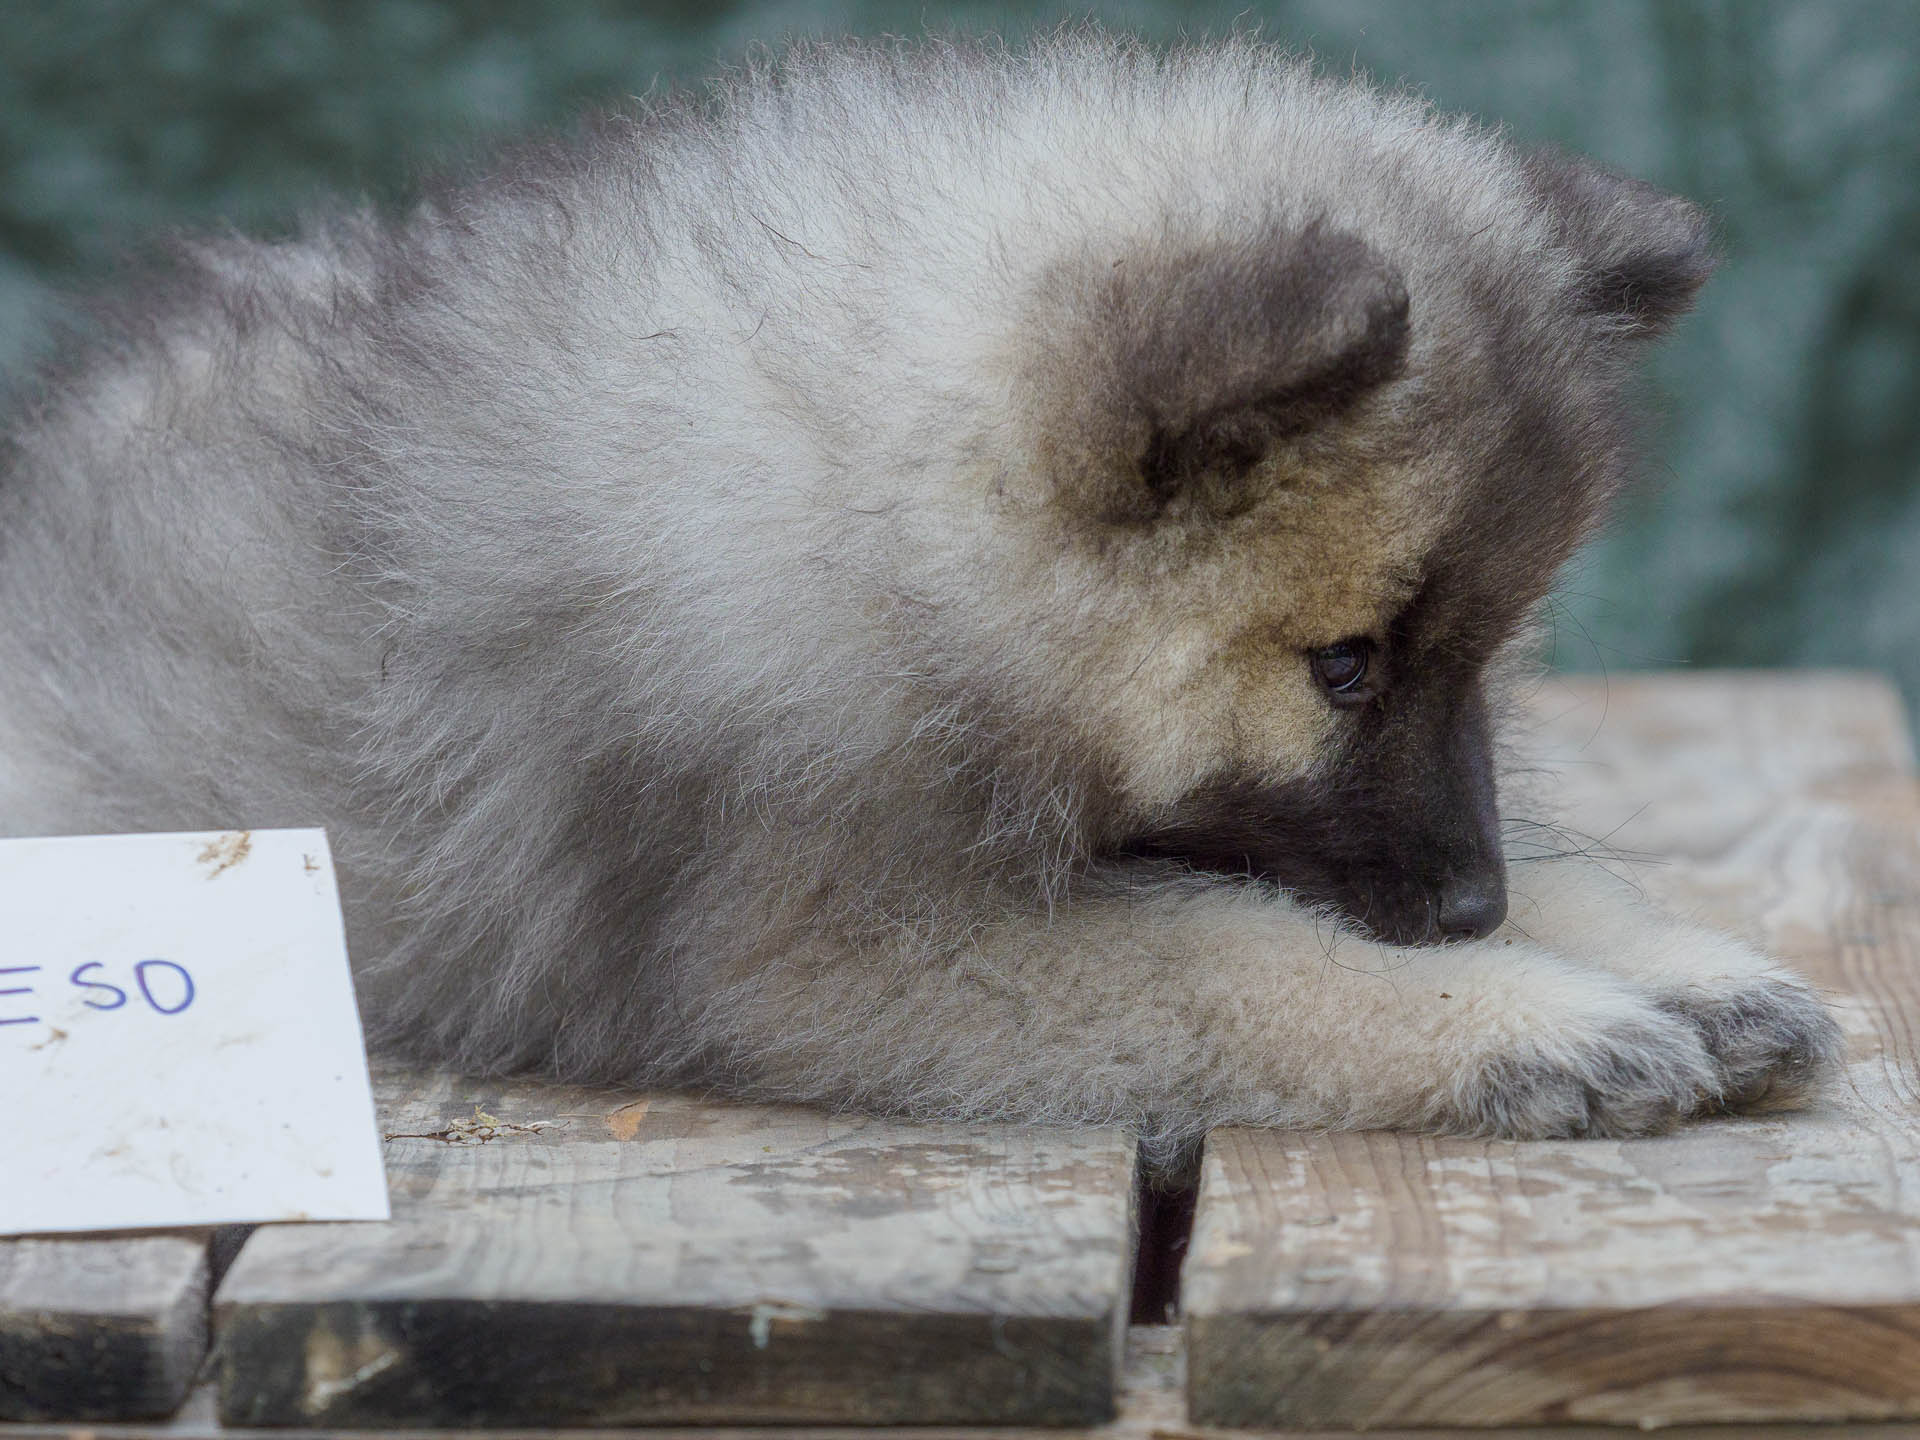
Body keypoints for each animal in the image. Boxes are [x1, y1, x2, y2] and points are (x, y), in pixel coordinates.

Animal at [0, 30, 1843, 1152]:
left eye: (1483, 653)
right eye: (1345, 666)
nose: (1467, 908)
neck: (875, 509)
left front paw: (1652, 954)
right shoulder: (847, 946)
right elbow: (1238, 962)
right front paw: (1519, 1019)